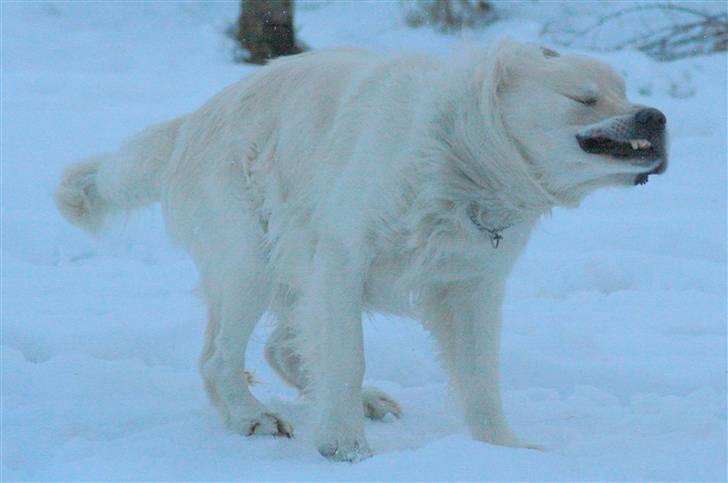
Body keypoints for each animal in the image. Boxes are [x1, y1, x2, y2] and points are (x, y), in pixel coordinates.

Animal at [55, 41, 664, 462]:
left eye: (625, 90)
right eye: (585, 98)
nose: (654, 116)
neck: (463, 158)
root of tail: (191, 123)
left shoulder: (473, 287)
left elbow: (480, 380)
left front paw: (504, 452)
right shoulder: (341, 259)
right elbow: (346, 357)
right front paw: (345, 447)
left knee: (275, 348)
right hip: (252, 261)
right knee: (220, 357)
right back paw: (254, 418)